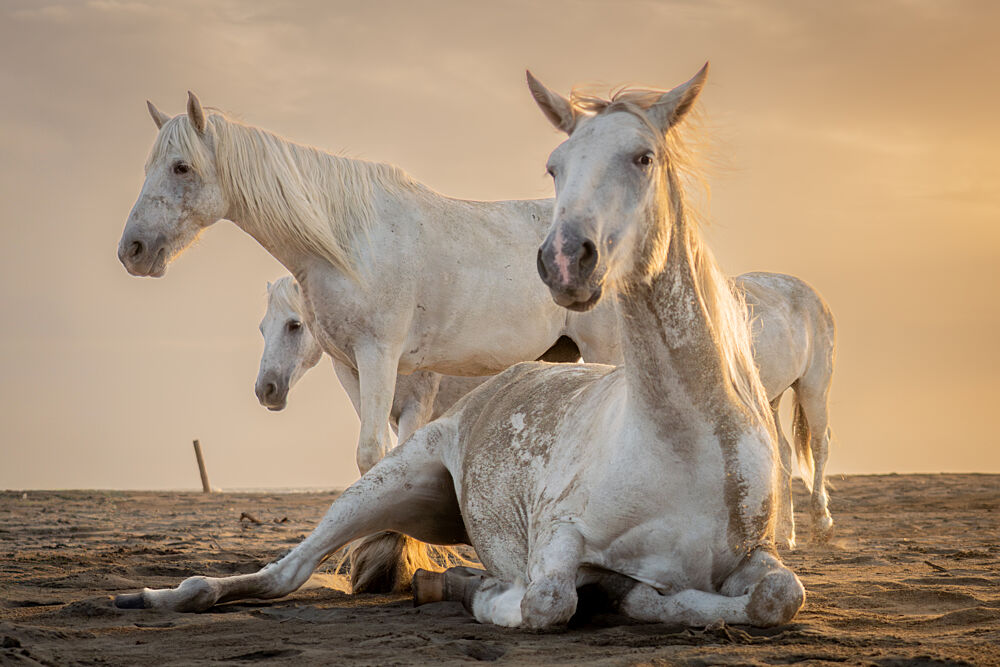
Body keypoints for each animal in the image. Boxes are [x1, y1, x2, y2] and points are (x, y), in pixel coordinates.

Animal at [115, 64, 806, 629]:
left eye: (180, 167)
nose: (133, 251)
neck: (349, 239)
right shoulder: (354, 366)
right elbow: (370, 454)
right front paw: (390, 562)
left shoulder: (382, 353)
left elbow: (370, 452)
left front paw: (385, 564)